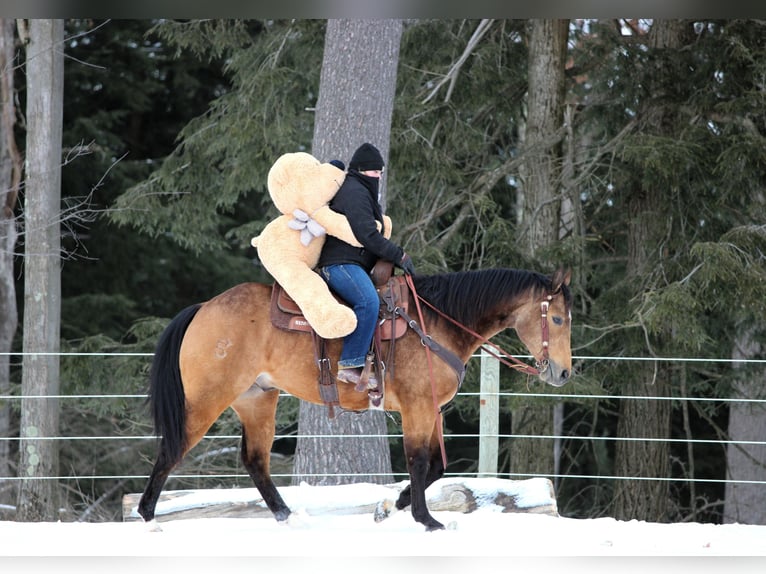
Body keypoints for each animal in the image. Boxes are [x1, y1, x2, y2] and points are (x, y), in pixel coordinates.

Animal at [135, 268, 572, 532]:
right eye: (557, 319)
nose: (564, 373)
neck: (434, 324)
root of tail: (203, 308)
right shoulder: (416, 406)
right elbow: (419, 462)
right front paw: (426, 519)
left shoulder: (430, 409)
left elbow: (434, 467)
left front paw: (391, 507)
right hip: (207, 399)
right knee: (172, 450)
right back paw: (147, 517)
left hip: (257, 399)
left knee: (255, 460)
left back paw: (287, 516)